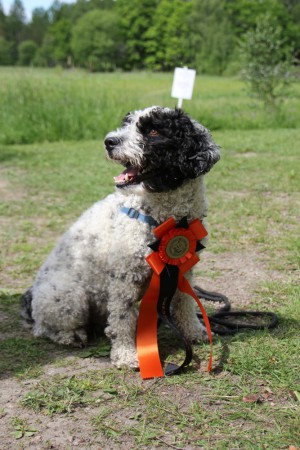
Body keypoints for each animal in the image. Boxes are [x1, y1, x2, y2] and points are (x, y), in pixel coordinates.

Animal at [20, 107, 218, 368]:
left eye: (153, 131)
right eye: (126, 124)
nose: (109, 141)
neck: (162, 218)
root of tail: (32, 297)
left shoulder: (183, 269)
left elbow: (185, 302)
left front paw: (194, 332)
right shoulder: (125, 278)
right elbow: (123, 320)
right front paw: (127, 355)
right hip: (69, 298)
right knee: (45, 328)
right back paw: (71, 336)